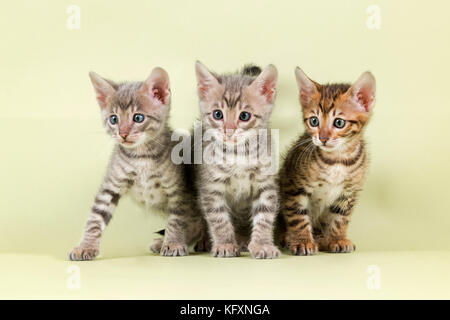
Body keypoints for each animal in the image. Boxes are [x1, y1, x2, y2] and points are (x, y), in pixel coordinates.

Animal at [68, 67, 202, 260]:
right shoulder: (111, 185)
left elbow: (177, 220)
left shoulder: (178, 190)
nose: (123, 134)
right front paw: (85, 246)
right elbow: (95, 217)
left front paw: (174, 243)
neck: (141, 157)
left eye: (138, 118)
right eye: (114, 119)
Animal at [194, 61, 280, 258]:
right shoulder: (211, 187)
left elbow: (265, 216)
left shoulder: (265, 184)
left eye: (244, 116)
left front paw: (262, 244)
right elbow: (218, 218)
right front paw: (225, 244)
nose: (229, 130)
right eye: (218, 114)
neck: (238, 153)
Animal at [280, 67, 374, 255]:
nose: (322, 138)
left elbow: (340, 219)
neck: (337, 160)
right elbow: (298, 217)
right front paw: (303, 241)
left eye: (339, 123)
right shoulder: (293, 186)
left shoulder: (348, 193)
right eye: (314, 121)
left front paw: (338, 239)